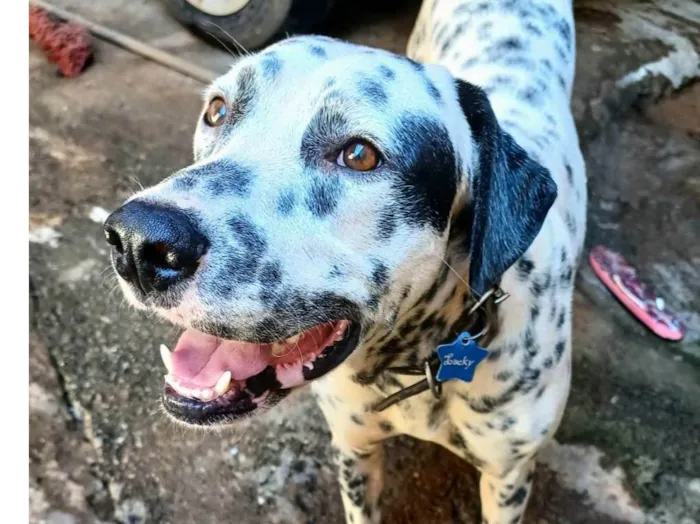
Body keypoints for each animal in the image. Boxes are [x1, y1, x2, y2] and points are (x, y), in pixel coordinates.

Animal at [104, 0, 584, 520]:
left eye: (359, 154)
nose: (136, 241)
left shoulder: (507, 480)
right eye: (217, 110)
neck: (414, 364)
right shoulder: (354, 448)